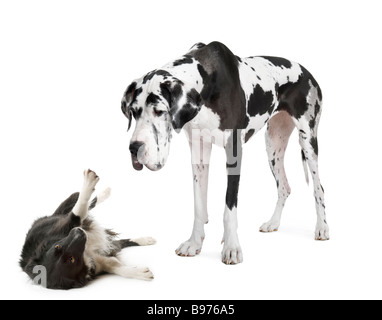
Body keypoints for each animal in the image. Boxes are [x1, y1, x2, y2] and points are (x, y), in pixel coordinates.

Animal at [20, 170, 155, 290]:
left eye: (57, 246)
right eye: (71, 259)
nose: (78, 232)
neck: (85, 251)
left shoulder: (66, 225)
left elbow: (78, 211)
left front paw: (89, 181)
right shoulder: (96, 262)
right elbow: (116, 266)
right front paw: (140, 273)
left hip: (67, 206)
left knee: (84, 202)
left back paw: (103, 192)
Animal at [121, 40, 328, 264]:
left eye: (159, 111)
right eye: (134, 112)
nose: (134, 148)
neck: (205, 83)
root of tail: (307, 73)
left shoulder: (234, 151)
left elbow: (229, 206)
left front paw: (231, 248)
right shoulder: (199, 150)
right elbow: (199, 204)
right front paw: (194, 243)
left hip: (308, 140)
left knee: (318, 188)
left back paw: (322, 227)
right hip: (273, 144)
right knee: (284, 187)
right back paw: (273, 223)